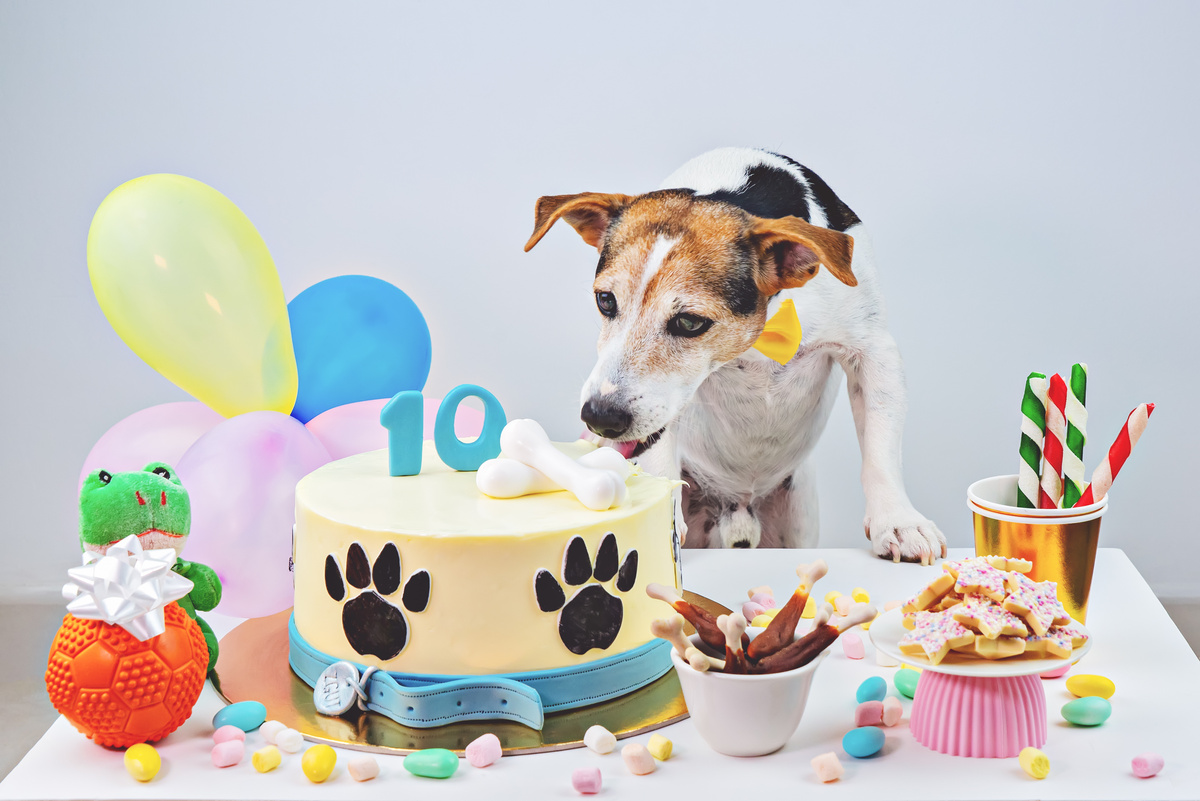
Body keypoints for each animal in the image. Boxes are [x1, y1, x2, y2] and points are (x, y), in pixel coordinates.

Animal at [525, 148, 945, 563]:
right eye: (605, 300)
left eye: (690, 322)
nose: (599, 417)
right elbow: (659, 455)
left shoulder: (873, 350)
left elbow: (880, 450)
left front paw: (900, 523)